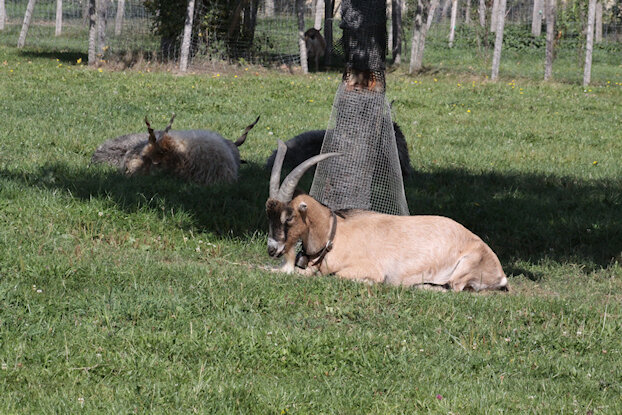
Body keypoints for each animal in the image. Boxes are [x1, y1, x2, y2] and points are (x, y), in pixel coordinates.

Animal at [266, 141, 510, 292]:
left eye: (289, 217)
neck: (334, 234)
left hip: (466, 267)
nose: (272, 249)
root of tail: (500, 272)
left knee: (454, 287)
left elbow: (333, 276)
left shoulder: (370, 269)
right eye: (269, 214)